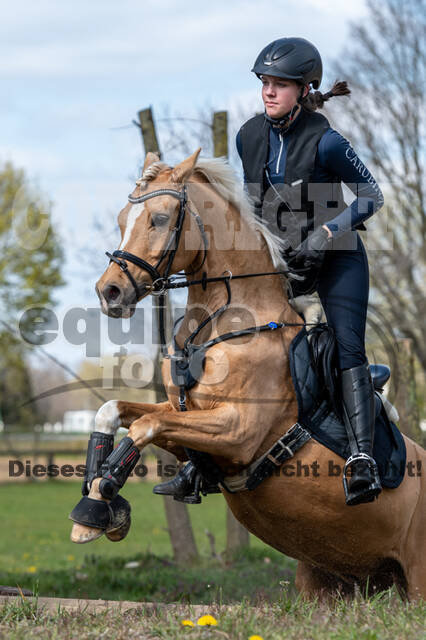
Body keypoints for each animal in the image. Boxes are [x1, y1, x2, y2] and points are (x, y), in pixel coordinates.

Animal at [68, 149, 424, 600]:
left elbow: (145, 425)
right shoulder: (189, 426)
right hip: (326, 578)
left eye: (160, 219)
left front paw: (95, 507)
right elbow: (116, 413)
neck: (225, 321)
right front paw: (100, 501)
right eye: (120, 220)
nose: (109, 292)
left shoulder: (238, 432)